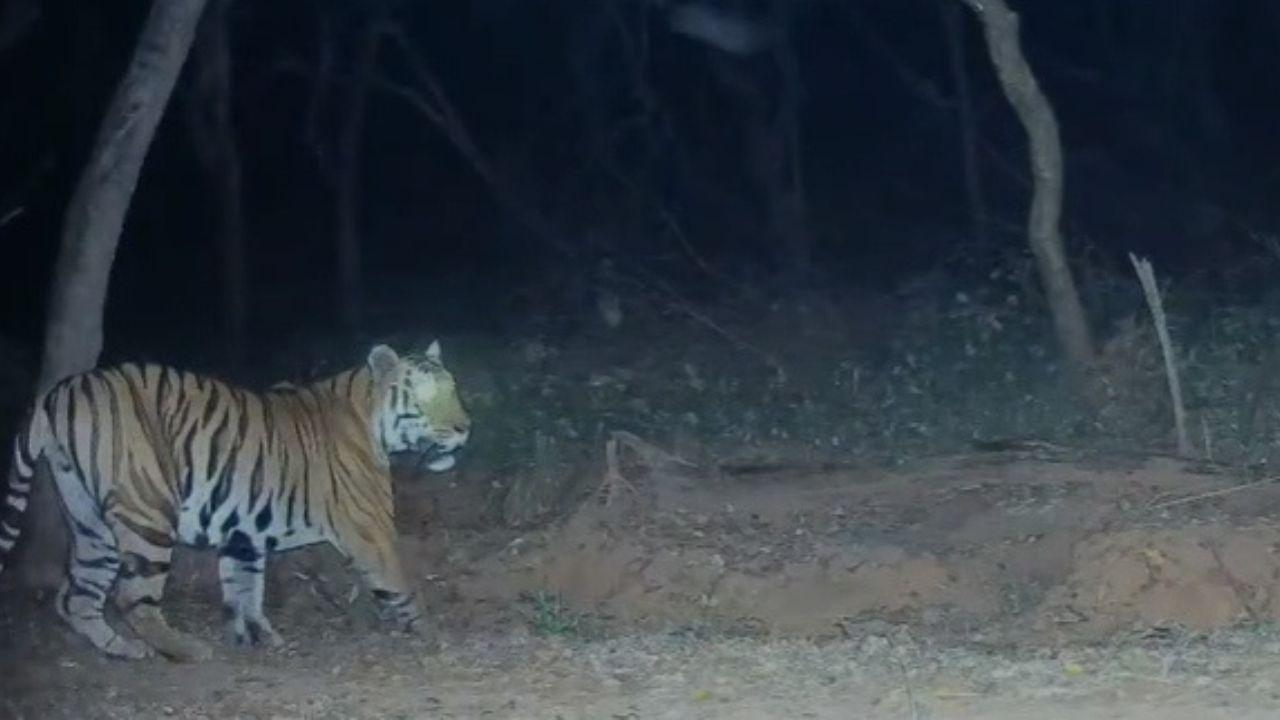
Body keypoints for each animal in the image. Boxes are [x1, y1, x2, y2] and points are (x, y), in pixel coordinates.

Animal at [0, 340, 470, 661]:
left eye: (454, 389)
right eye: (426, 396)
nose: (465, 428)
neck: (372, 419)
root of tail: (59, 391)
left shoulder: (243, 530)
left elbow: (245, 588)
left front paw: (255, 636)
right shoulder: (370, 528)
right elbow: (401, 582)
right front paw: (431, 632)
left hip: (90, 522)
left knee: (76, 598)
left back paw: (126, 650)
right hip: (149, 511)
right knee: (130, 596)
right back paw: (185, 649)